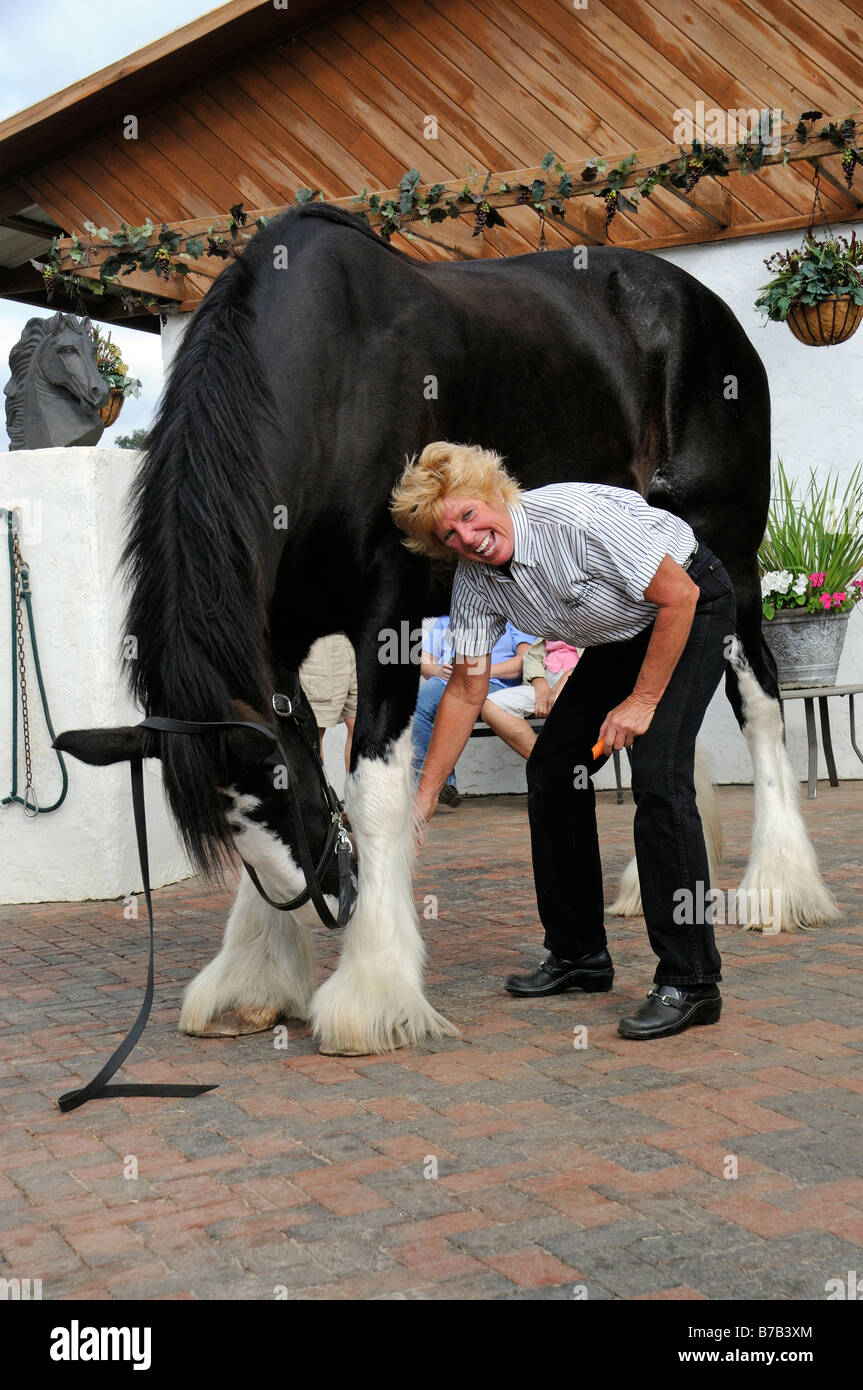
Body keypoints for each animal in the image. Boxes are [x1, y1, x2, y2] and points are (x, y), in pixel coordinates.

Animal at [54, 204, 838, 1058]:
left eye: (279, 791)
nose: (335, 894)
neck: (329, 379)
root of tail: (703, 306)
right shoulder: (277, 639)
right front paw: (254, 980)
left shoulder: (387, 620)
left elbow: (375, 791)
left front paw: (372, 992)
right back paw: (643, 891)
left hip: (727, 552)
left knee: (758, 702)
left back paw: (777, 889)